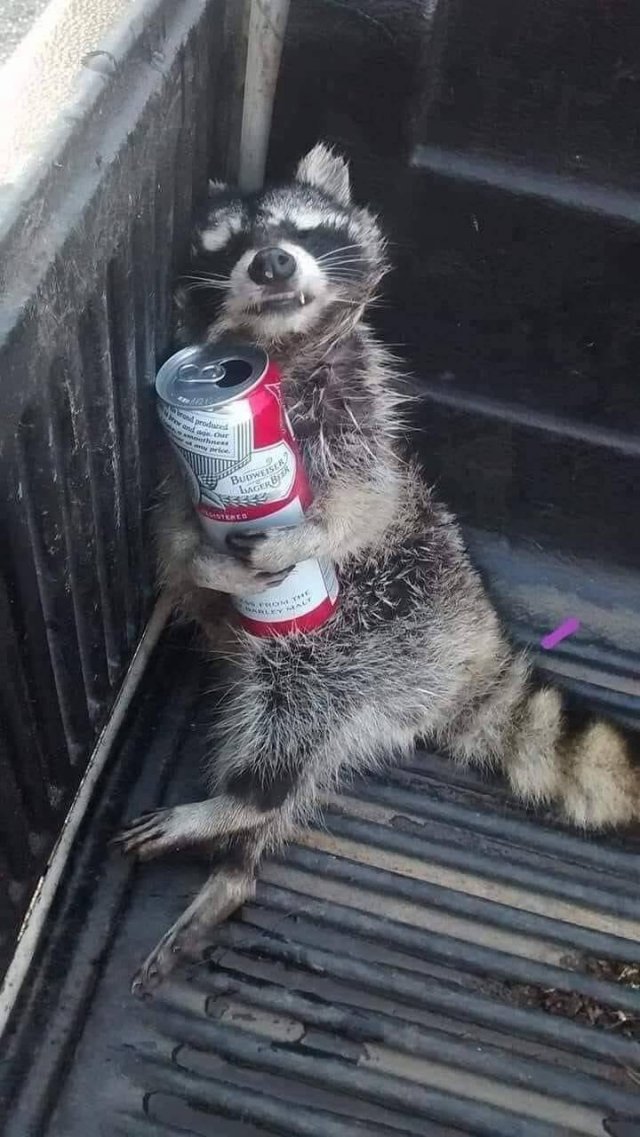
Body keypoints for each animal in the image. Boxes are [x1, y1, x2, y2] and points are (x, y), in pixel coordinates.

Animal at [115, 142, 640, 996]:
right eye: (228, 246)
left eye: (299, 229)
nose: (269, 261)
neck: (283, 352)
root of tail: (477, 646)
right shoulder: (176, 461)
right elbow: (172, 533)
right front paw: (207, 560)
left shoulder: (358, 424)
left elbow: (362, 506)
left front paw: (297, 538)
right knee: (294, 749)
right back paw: (237, 864)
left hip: (377, 631)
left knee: (290, 713)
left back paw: (240, 805)